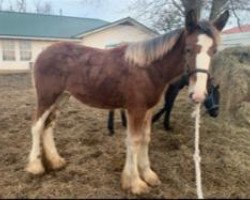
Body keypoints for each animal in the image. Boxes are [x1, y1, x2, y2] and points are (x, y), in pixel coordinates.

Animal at [26, 10, 229, 195]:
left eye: (214, 51)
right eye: (188, 49)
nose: (199, 94)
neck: (148, 69)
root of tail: (43, 53)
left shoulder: (147, 110)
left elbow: (145, 138)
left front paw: (147, 175)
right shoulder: (135, 110)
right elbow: (134, 140)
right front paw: (135, 183)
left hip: (61, 97)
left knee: (49, 125)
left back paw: (55, 161)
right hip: (46, 97)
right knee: (37, 125)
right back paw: (35, 166)